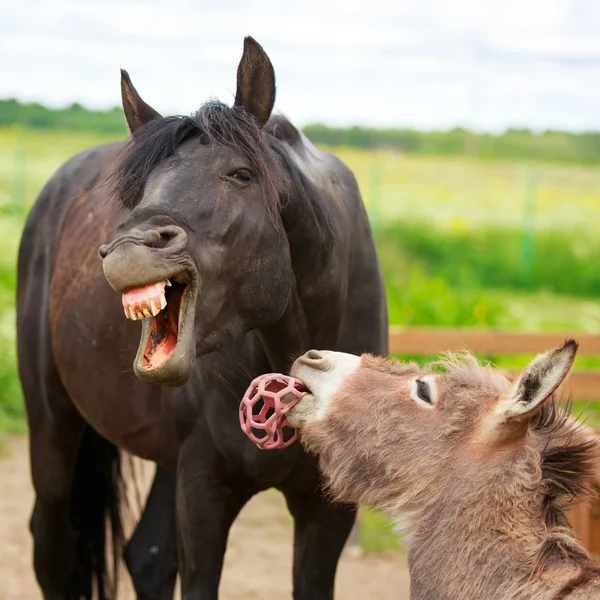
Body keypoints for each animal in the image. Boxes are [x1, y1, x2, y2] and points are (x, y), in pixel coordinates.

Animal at [17, 37, 390, 600]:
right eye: (137, 190)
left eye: (240, 174)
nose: (127, 250)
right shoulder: (203, 487)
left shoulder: (327, 510)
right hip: (53, 421)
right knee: (53, 550)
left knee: (146, 555)